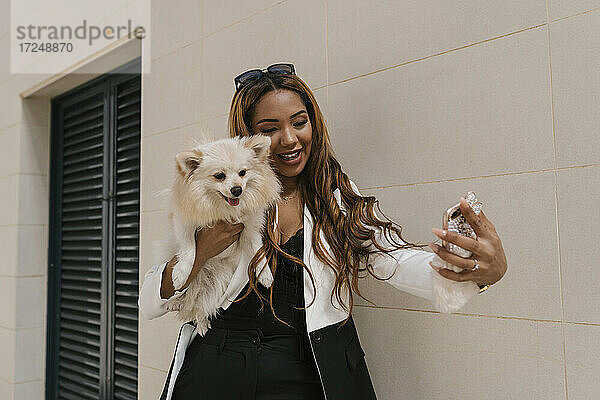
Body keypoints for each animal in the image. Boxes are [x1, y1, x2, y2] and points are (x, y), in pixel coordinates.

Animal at [157, 134, 284, 334]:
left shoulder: (250, 230)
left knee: (200, 303)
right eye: (219, 176)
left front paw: (265, 274)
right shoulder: (183, 223)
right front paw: (181, 273)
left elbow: (258, 252)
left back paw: (201, 324)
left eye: (242, 173)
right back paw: (176, 301)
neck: (223, 210)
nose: (237, 189)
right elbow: (190, 248)